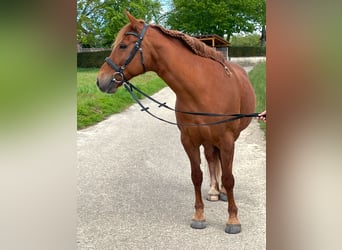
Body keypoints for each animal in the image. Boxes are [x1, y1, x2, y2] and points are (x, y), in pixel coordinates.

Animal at [97, 11, 255, 234]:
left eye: (123, 46)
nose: (101, 81)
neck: (203, 88)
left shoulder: (226, 140)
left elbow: (229, 177)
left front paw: (233, 220)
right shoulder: (188, 140)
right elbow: (196, 175)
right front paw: (199, 216)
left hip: (230, 137)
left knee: (223, 166)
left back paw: (222, 192)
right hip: (208, 140)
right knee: (211, 158)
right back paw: (214, 191)